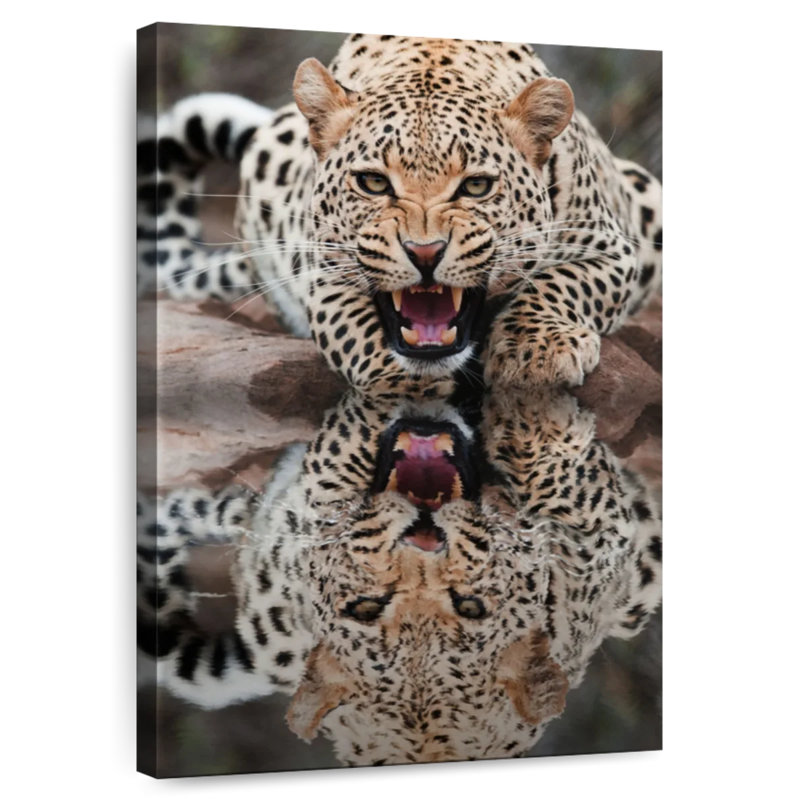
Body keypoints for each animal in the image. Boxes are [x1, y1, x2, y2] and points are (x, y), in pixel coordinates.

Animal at [137, 34, 662, 392]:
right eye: (373, 182)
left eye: (476, 186)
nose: (424, 253)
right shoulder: (323, 273)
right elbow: (357, 334)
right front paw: (403, 385)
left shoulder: (614, 249)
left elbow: (562, 283)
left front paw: (536, 352)